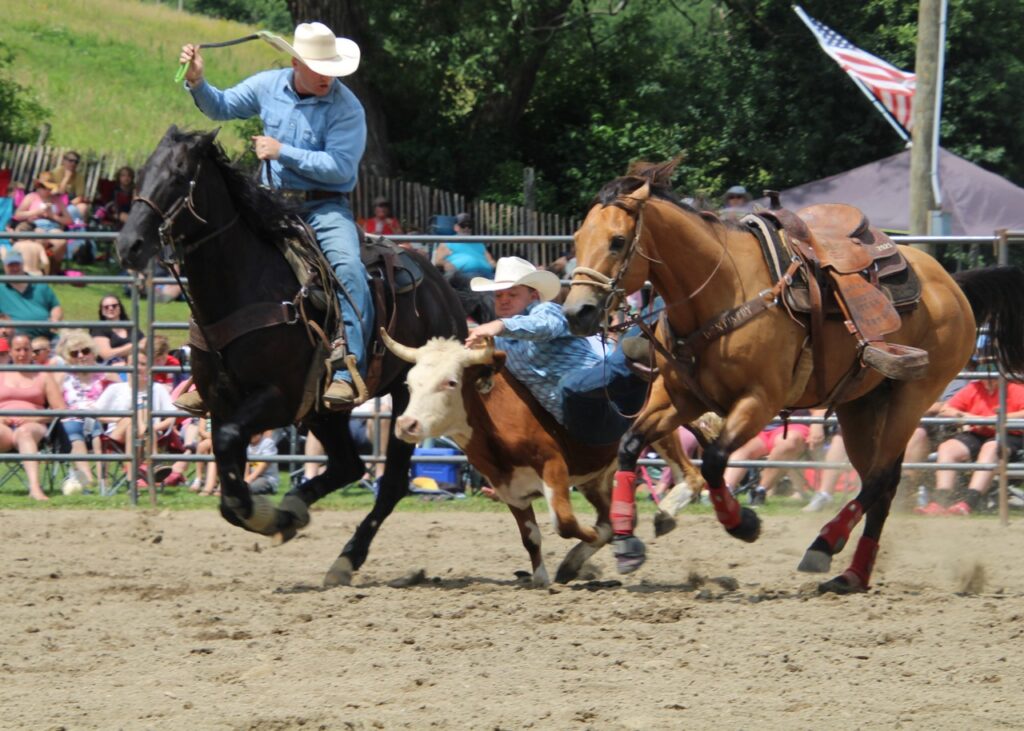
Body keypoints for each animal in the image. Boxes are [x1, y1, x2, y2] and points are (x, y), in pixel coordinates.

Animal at [117, 126, 468, 586]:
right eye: (141, 173)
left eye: (178, 175)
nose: (129, 246)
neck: (244, 284)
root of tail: (443, 288)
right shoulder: (222, 402)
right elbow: (228, 486)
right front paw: (278, 517)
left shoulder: (277, 399)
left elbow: (229, 448)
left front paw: (269, 518)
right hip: (324, 410)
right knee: (350, 466)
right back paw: (296, 507)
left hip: (407, 397)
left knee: (390, 483)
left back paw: (346, 557)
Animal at [563, 159, 1024, 594]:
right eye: (577, 239)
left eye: (618, 241)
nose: (577, 311)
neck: (722, 290)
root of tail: (953, 284)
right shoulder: (679, 399)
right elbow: (630, 445)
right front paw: (626, 540)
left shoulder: (759, 401)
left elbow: (714, 460)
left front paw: (743, 523)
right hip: (862, 406)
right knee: (884, 482)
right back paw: (852, 574)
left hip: (913, 397)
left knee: (878, 478)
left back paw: (824, 544)